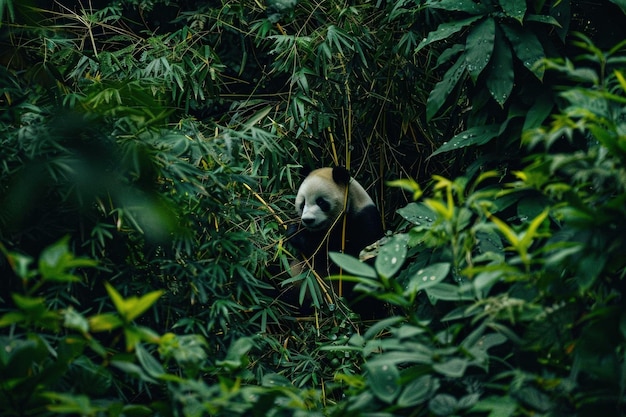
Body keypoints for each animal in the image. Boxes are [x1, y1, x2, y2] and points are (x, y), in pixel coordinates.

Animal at [286, 166, 382, 316]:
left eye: (321, 202)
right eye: (303, 203)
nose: (308, 220)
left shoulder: (365, 221)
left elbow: (346, 257)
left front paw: (296, 233)